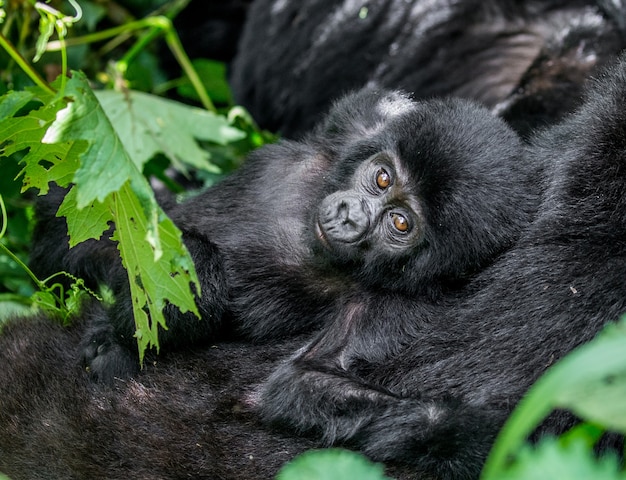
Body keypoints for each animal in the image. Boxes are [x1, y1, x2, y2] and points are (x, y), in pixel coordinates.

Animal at [30, 89, 536, 382]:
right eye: (383, 178)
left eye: (400, 223)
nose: (350, 215)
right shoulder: (358, 129)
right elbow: (371, 103)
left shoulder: (395, 308)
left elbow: (311, 377)